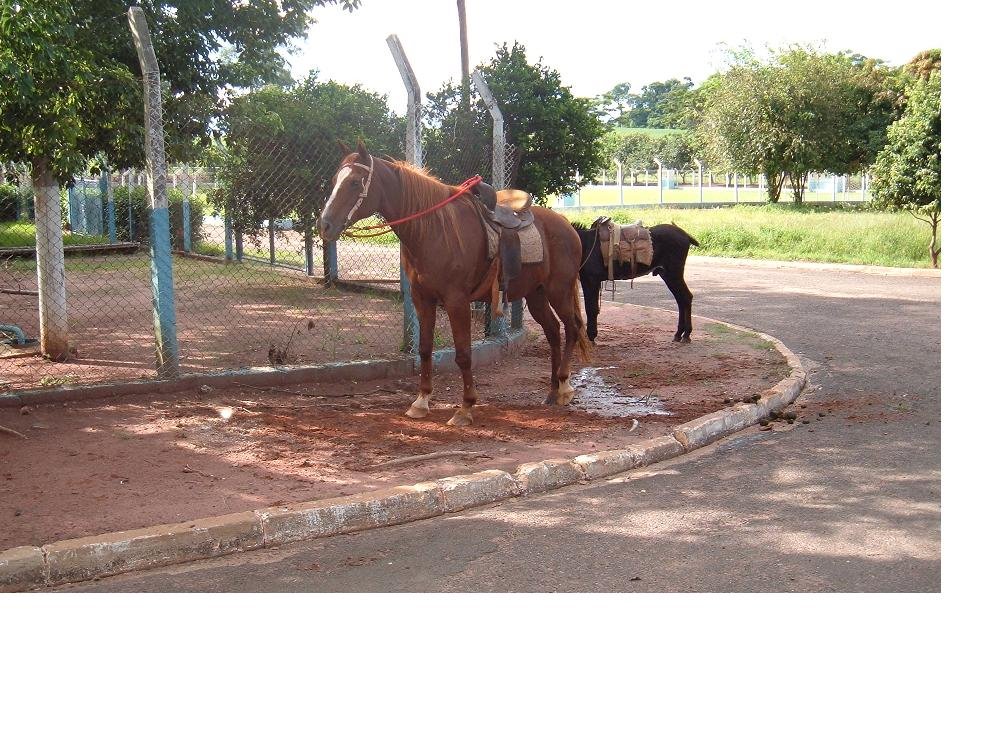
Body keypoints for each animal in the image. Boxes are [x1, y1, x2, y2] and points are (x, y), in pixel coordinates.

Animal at [316, 142, 588, 427]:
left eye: (354, 182)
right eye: (335, 181)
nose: (324, 225)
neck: (434, 231)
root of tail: (567, 226)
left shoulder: (457, 302)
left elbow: (463, 354)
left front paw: (465, 408)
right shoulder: (423, 300)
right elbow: (425, 349)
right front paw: (421, 401)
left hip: (558, 290)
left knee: (571, 328)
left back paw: (565, 387)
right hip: (536, 295)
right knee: (553, 331)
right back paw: (552, 391)